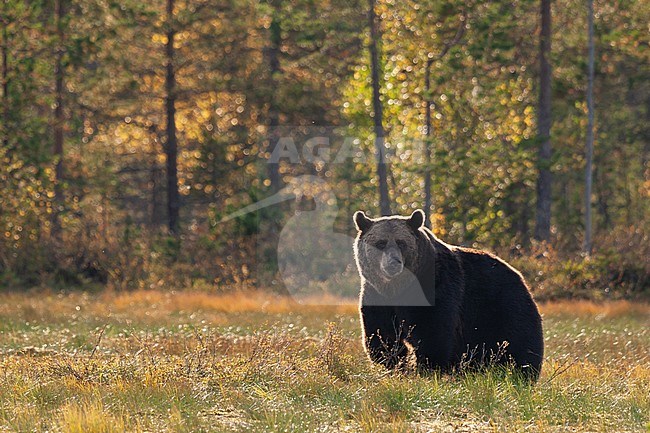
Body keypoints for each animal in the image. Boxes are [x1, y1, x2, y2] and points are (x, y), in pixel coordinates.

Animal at [352, 208, 540, 378]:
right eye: (380, 243)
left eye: (401, 243)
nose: (393, 263)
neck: (397, 287)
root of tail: (520, 277)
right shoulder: (376, 294)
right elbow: (382, 333)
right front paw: (394, 363)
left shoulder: (438, 284)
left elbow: (432, 330)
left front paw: (426, 367)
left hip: (503, 305)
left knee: (520, 341)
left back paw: (521, 373)